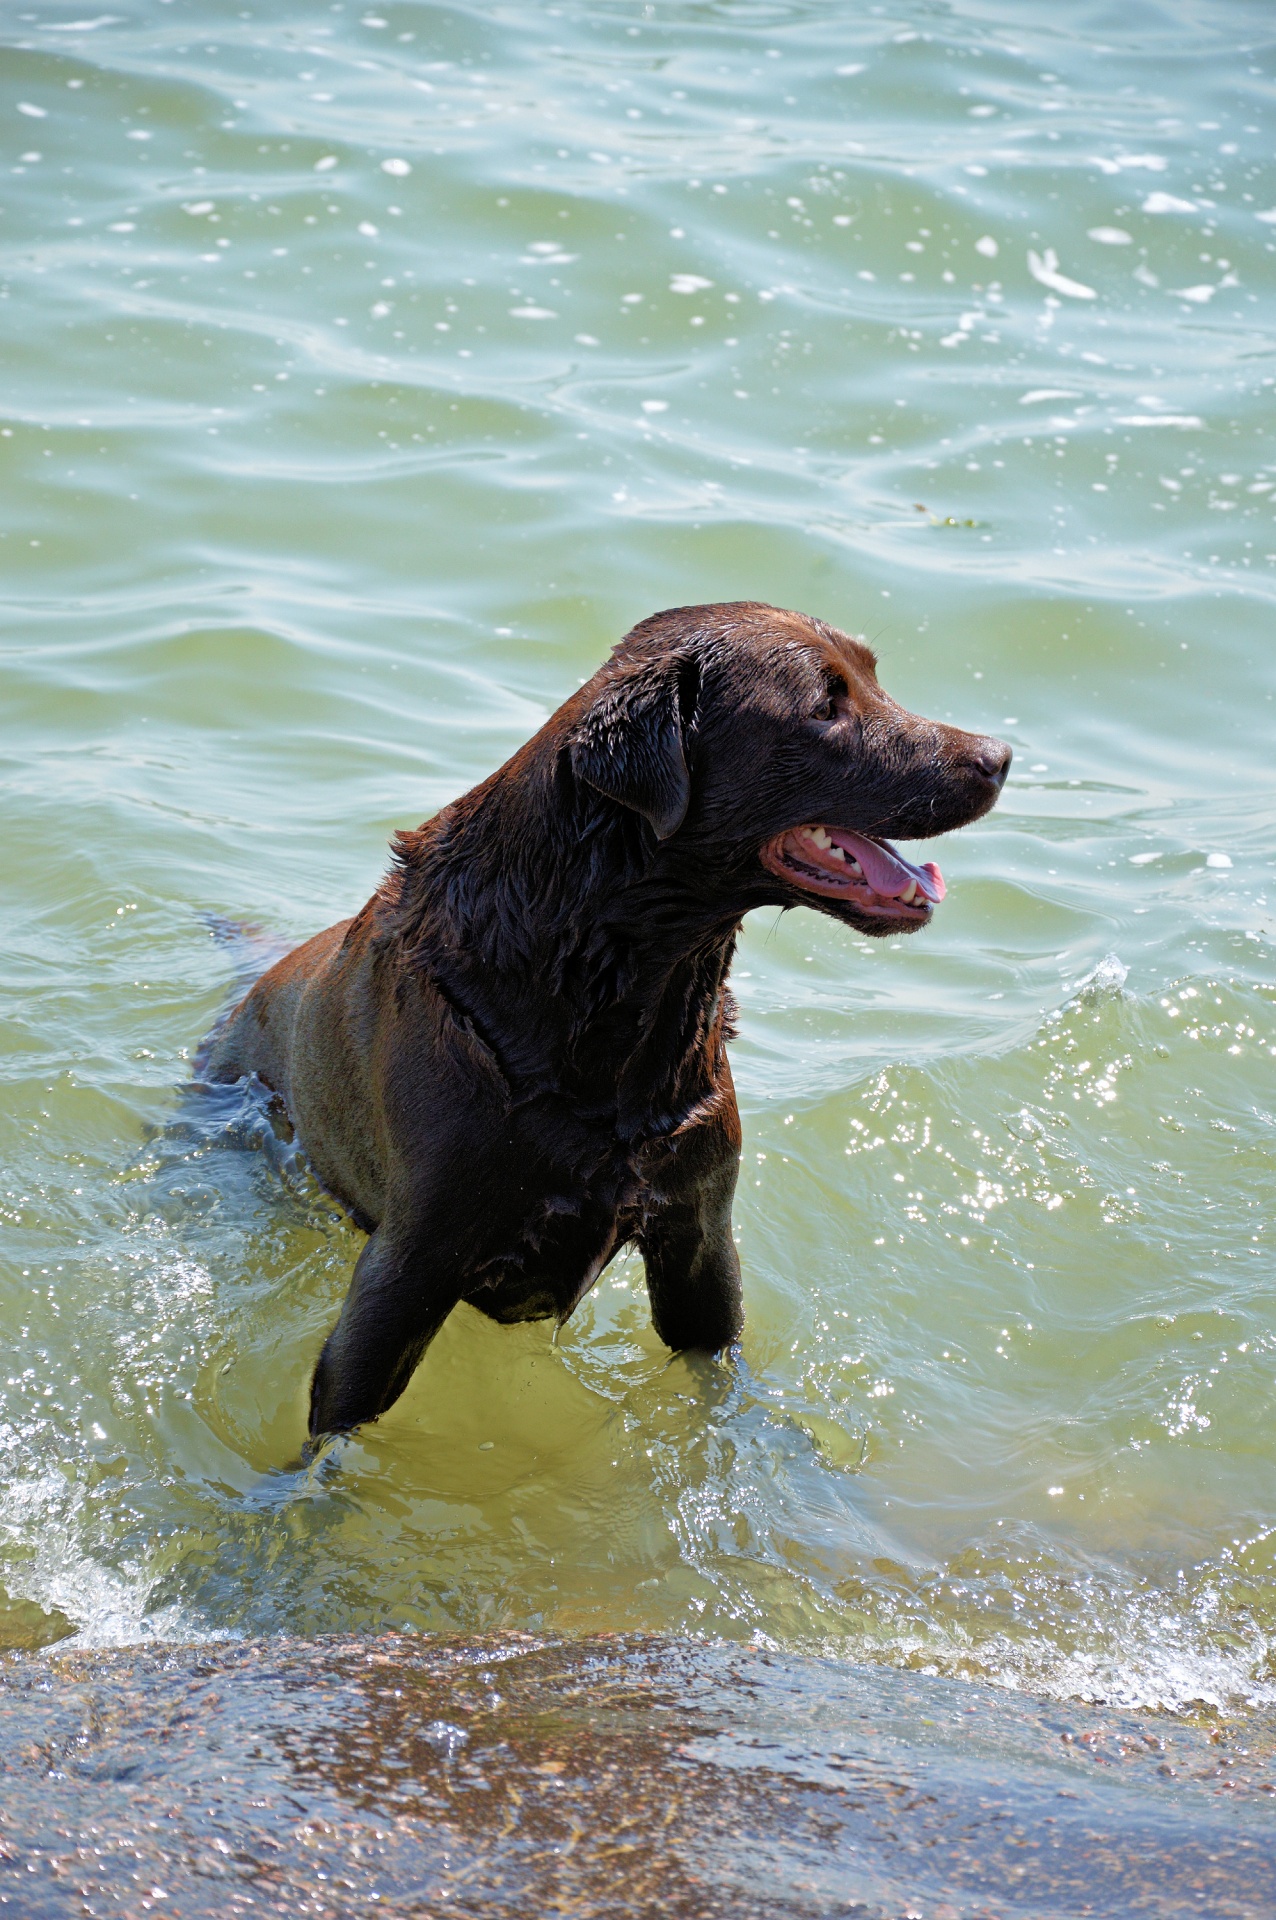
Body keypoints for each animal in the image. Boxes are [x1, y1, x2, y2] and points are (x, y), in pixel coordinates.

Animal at [204, 599, 1013, 1443]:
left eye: (873, 677)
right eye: (825, 706)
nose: (999, 757)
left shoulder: (699, 1230)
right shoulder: (408, 1265)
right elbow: (334, 1425)